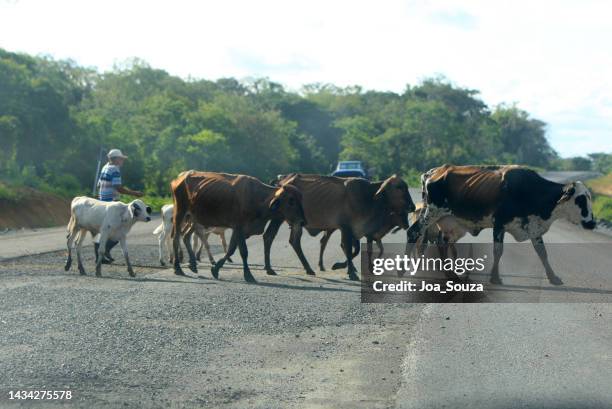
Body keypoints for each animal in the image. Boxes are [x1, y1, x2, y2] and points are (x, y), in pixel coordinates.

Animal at [262, 172, 416, 280]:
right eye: (399, 187)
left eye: (406, 186)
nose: (412, 206)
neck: (369, 197)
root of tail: (281, 181)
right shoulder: (346, 228)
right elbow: (348, 249)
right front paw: (350, 272)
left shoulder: (357, 232)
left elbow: (355, 251)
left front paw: (345, 268)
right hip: (279, 218)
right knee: (270, 236)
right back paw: (271, 268)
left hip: (295, 223)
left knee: (293, 241)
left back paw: (306, 268)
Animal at [406, 164, 596, 286]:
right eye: (580, 199)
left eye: (589, 197)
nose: (592, 223)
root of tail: (432, 172)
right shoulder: (499, 224)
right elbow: (498, 251)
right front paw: (495, 278)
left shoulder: (533, 228)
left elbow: (542, 253)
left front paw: (553, 277)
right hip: (431, 213)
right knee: (413, 233)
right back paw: (405, 270)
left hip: (445, 221)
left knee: (440, 242)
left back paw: (449, 274)